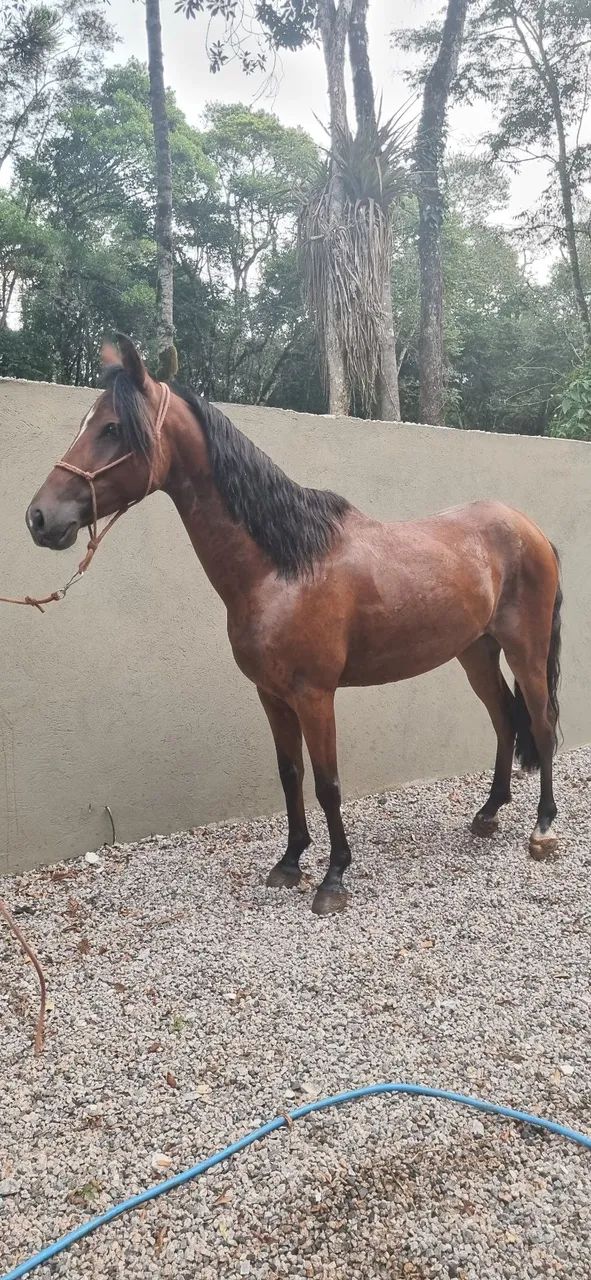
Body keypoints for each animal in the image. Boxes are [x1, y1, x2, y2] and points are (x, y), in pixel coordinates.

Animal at [26, 336, 562, 916]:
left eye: (111, 428)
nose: (39, 517)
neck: (282, 567)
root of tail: (531, 529)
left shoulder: (314, 694)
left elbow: (327, 783)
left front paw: (334, 878)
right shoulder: (271, 694)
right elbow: (291, 775)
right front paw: (289, 862)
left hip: (525, 651)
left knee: (541, 723)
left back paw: (543, 830)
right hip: (476, 652)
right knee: (504, 720)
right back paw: (488, 814)